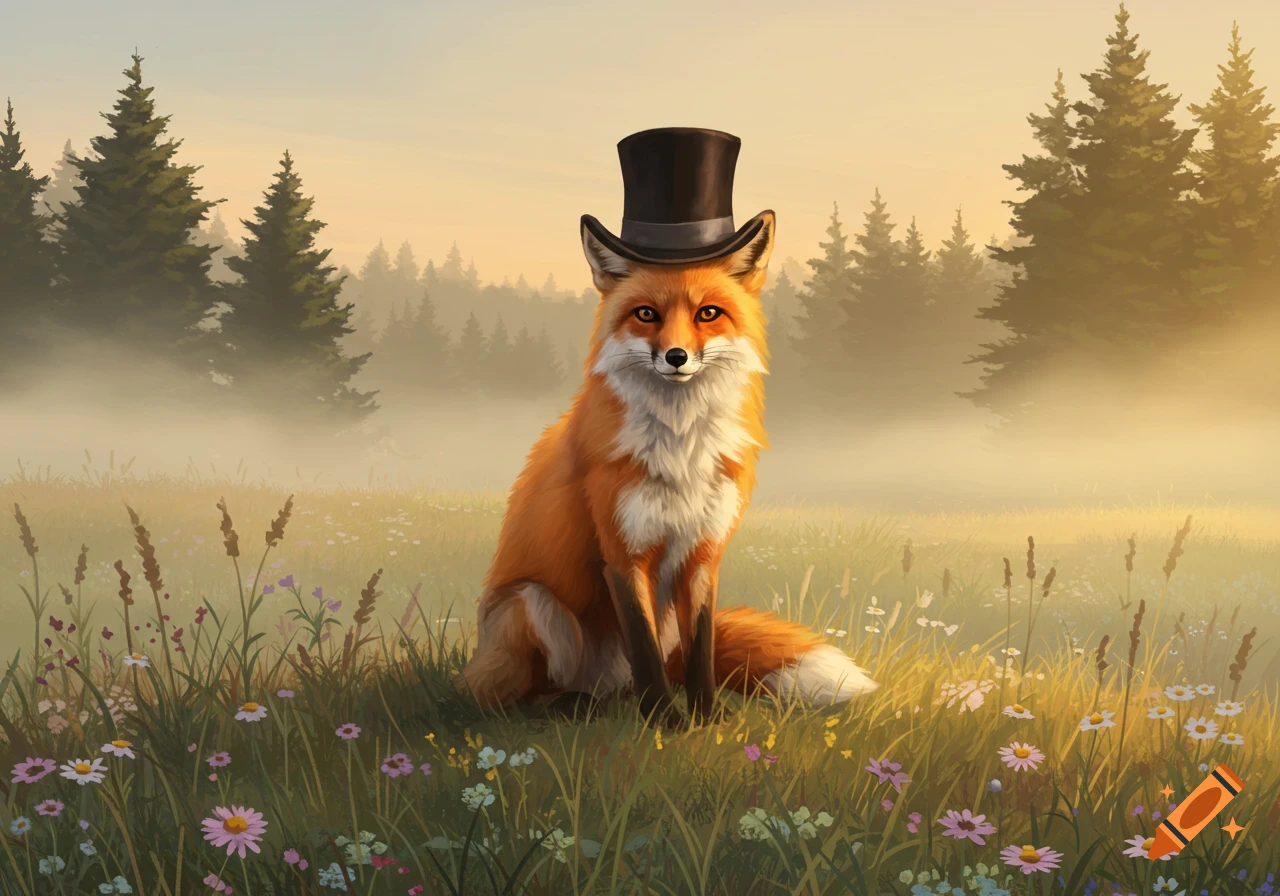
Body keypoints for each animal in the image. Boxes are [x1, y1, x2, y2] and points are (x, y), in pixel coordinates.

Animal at [454, 210, 878, 725]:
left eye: (708, 313)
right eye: (646, 314)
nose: (677, 357)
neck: (681, 449)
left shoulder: (702, 554)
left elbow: (700, 653)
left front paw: (707, 721)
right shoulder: (623, 554)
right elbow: (646, 651)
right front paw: (664, 722)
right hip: (533, 605)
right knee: (508, 696)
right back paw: (571, 706)